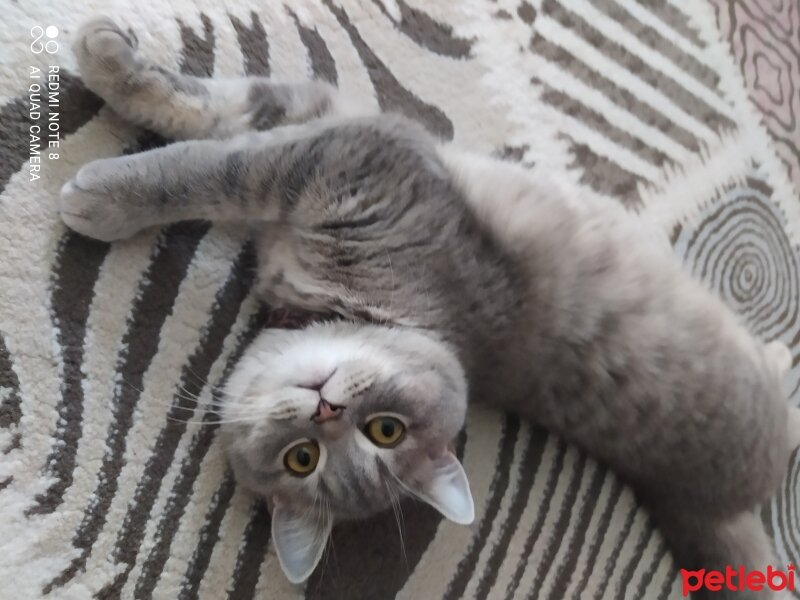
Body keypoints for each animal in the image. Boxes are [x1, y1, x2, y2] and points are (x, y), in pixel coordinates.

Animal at [57, 17, 800, 596]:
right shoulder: (327, 128)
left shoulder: (353, 157)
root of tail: (712, 507)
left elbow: (209, 171)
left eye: (382, 433)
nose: (325, 407)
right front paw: (110, 58)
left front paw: (105, 197)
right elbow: (212, 107)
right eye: (305, 456)